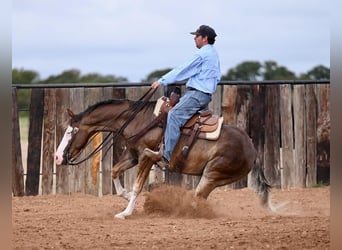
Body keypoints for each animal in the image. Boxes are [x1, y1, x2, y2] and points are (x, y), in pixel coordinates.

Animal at [56, 93, 276, 218]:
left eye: (71, 131)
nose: (57, 158)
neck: (139, 120)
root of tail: (252, 148)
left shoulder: (147, 156)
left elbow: (137, 185)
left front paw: (125, 212)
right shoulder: (133, 156)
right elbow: (114, 171)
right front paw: (125, 196)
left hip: (213, 174)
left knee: (198, 197)